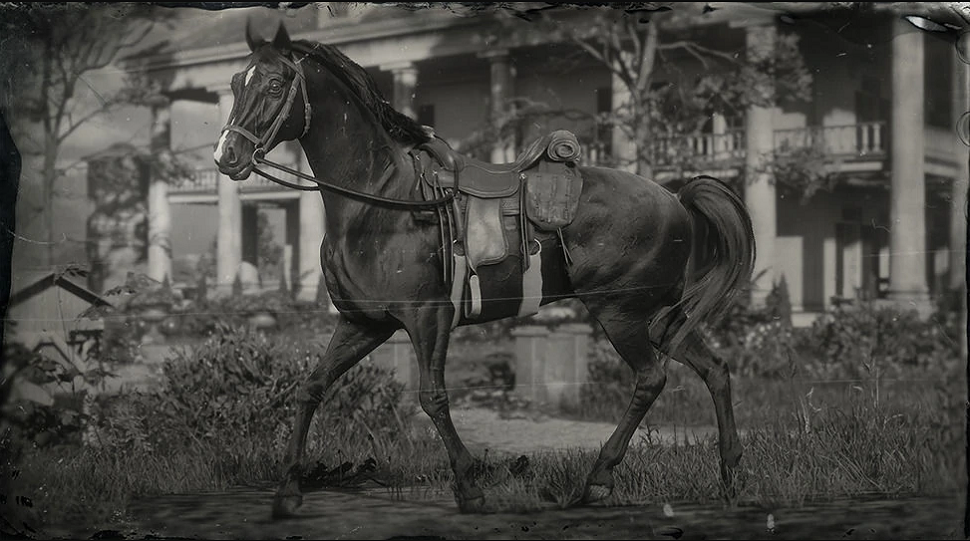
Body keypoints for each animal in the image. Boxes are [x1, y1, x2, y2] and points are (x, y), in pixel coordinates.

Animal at [213, 23, 755, 518]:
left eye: (276, 84)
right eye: (237, 81)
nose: (227, 156)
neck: (378, 202)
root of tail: (676, 198)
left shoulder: (427, 318)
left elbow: (433, 397)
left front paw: (470, 486)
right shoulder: (363, 323)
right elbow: (311, 387)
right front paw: (287, 491)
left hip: (620, 311)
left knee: (650, 378)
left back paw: (599, 479)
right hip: (660, 314)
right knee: (715, 369)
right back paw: (729, 475)